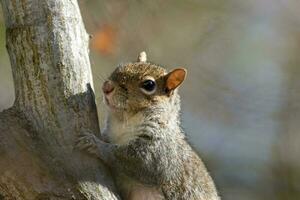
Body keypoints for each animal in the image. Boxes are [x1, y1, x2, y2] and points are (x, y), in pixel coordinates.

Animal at [76, 52, 219, 200]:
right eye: (119, 67)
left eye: (149, 85)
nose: (107, 87)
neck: (124, 121)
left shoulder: (158, 151)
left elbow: (127, 158)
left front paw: (93, 143)